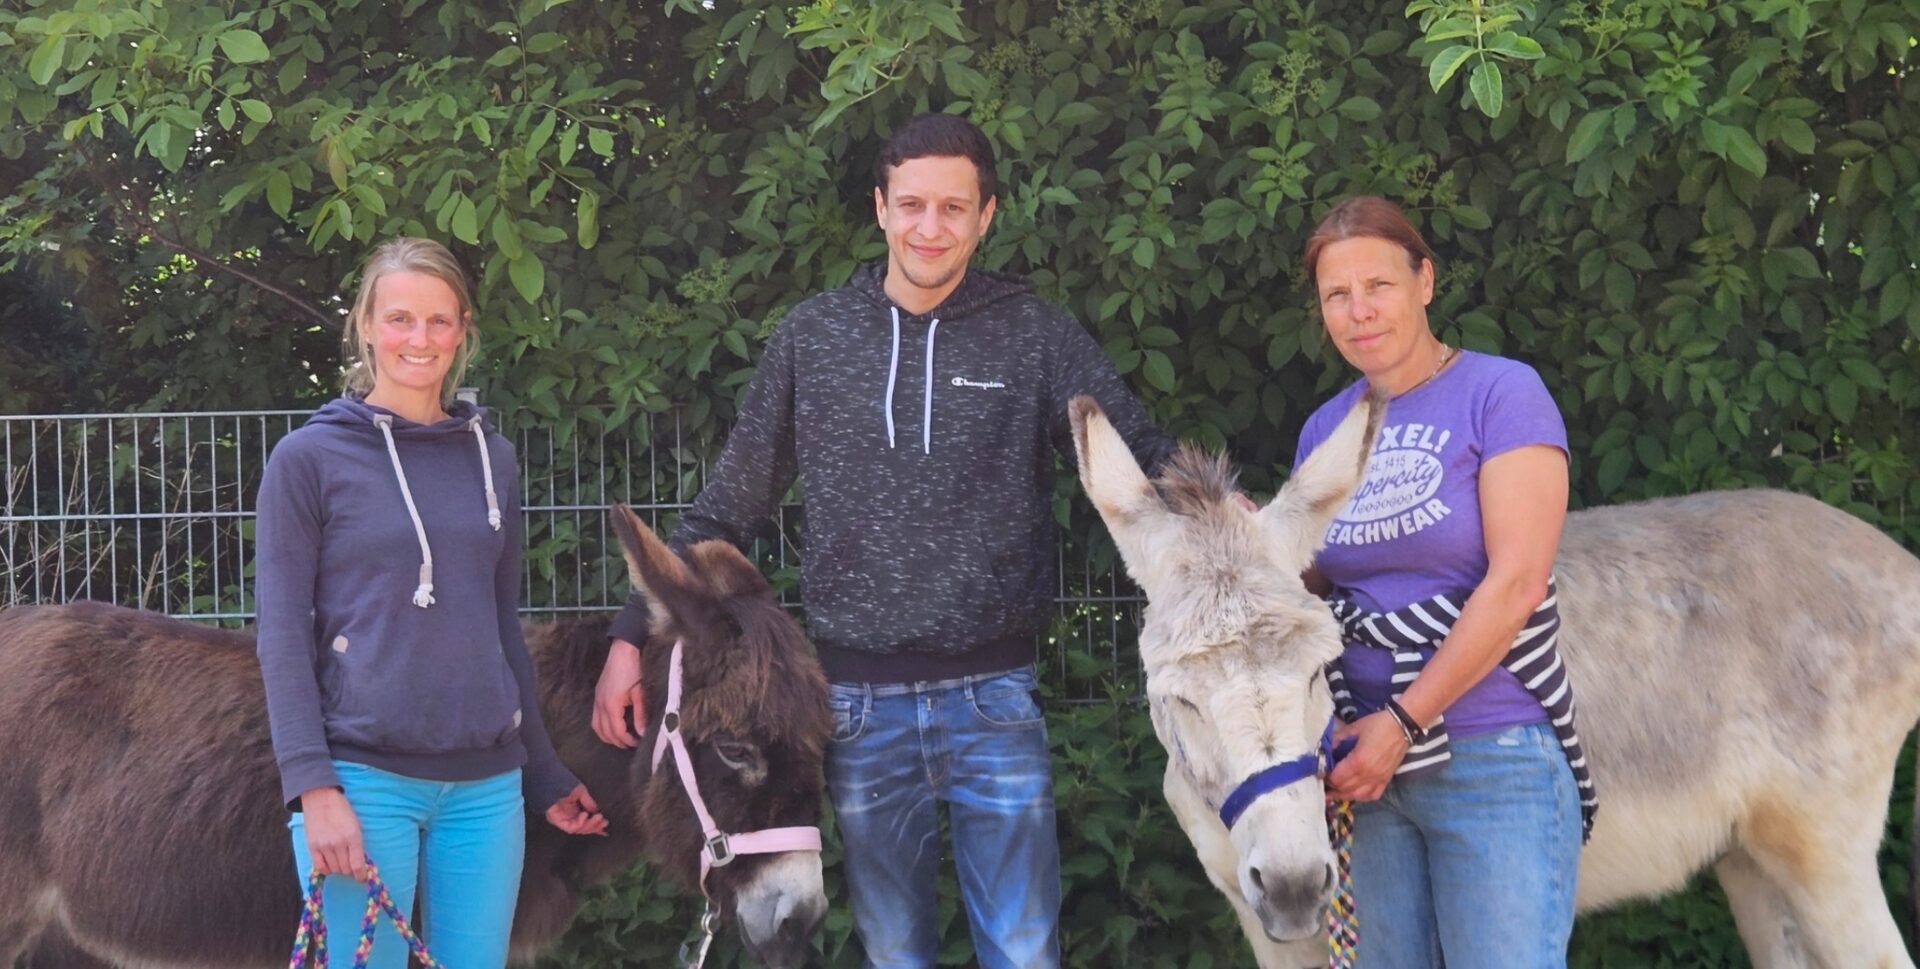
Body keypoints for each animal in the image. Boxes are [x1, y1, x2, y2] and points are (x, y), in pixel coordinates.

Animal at [1070, 392, 1920, 969]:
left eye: (1317, 672)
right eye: (1178, 697)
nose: (1292, 884)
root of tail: (1895, 560)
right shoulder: (1266, 921)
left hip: (1823, 843)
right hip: (1751, 858)